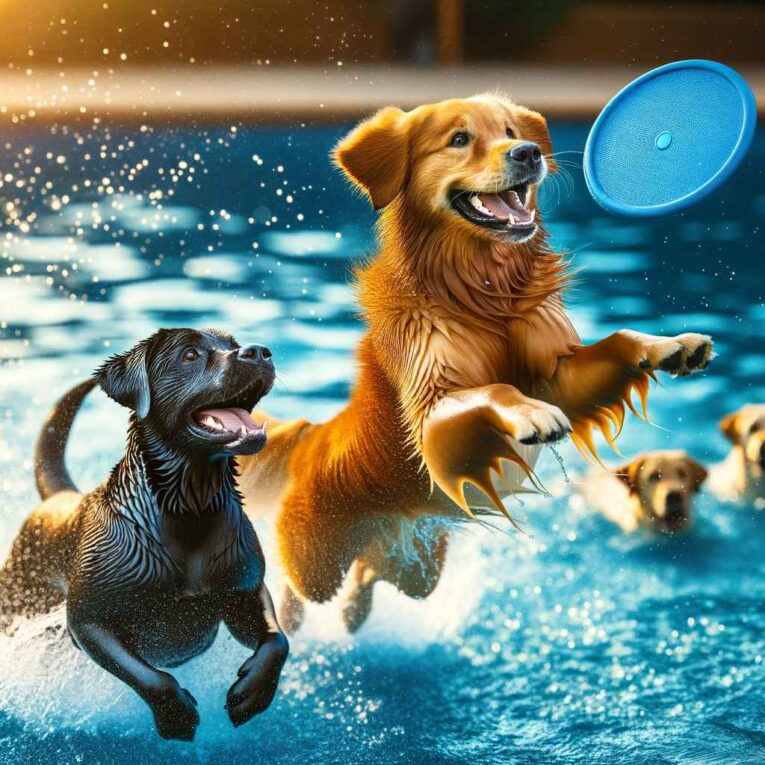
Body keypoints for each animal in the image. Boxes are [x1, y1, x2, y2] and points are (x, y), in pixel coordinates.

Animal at [0, 328, 286, 740]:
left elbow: (277, 641)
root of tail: (58, 497)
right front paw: (177, 718)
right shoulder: (88, 621)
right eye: (189, 355)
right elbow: (153, 678)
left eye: (234, 343)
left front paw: (250, 695)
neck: (191, 509)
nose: (259, 352)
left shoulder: (246, 591)